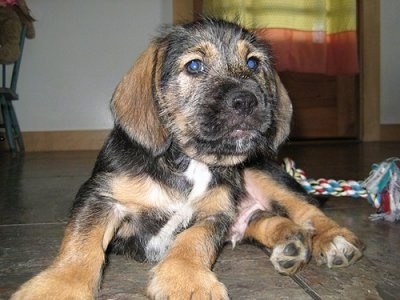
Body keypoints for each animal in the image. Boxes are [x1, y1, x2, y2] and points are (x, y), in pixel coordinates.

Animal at [11, 18, 362, 300]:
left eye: (253, 64)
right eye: (194, 66)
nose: (247, 100)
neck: (189, 161)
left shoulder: (214, 214)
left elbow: (192, 241)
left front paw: (186, 280)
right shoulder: (101, 197)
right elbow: (83, 243)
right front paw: (59, 286)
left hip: (261, 173)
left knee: (306, 211)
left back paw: (332, 241)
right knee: (268, 220)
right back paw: (292, 244)